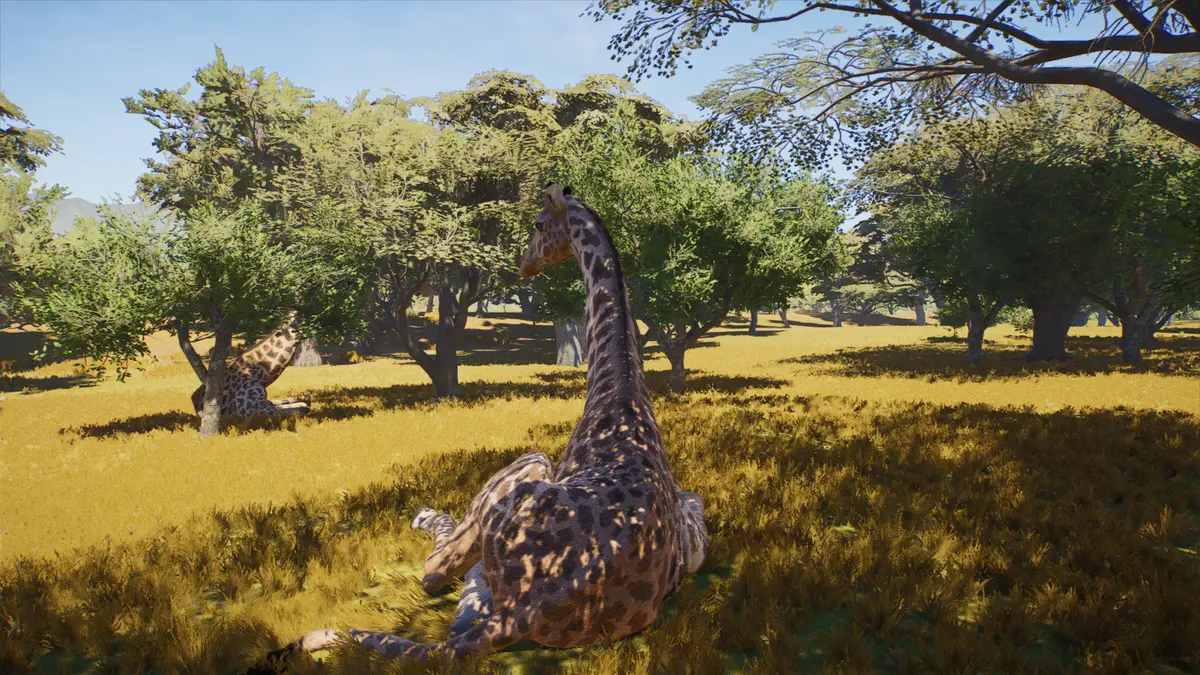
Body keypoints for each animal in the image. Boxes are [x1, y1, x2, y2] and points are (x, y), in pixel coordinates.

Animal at [262, 183, 709, 666]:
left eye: (537, 224)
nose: (524, 263)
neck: (618, 387)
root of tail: (524, 614)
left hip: (527, 470)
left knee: (437, 578)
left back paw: (423, 516)